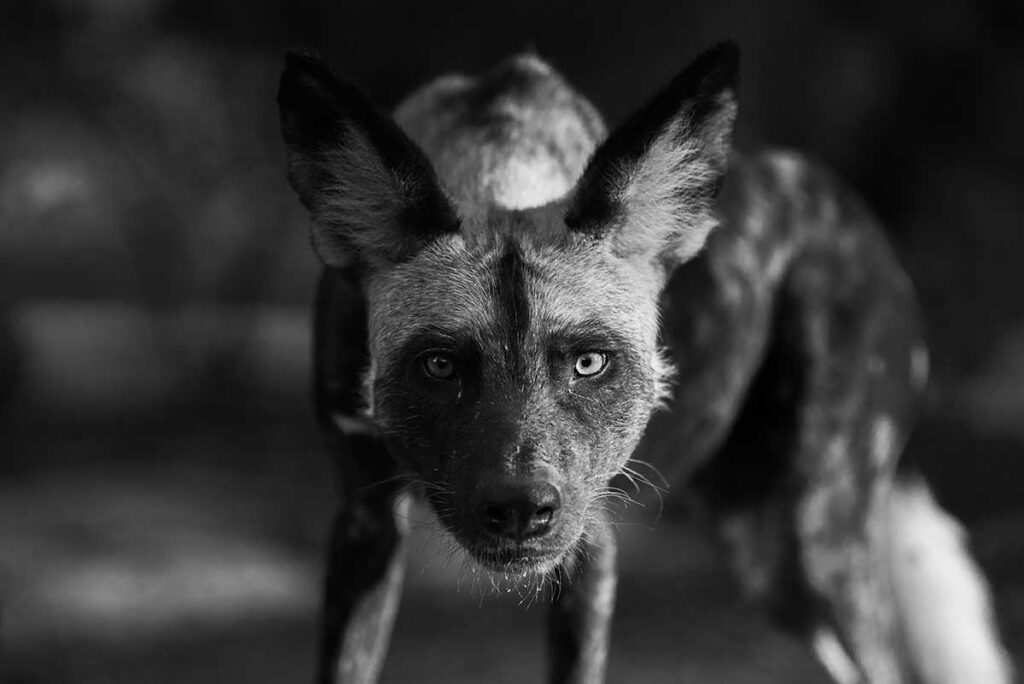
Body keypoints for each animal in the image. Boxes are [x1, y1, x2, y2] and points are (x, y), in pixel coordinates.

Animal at [276, 41, 1011, 684]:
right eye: (438, 367)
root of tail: (858, 221)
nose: (520, 509)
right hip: (763, 551)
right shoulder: (365, 525)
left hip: (811, 549)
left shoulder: (588, 546)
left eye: (590, 363)